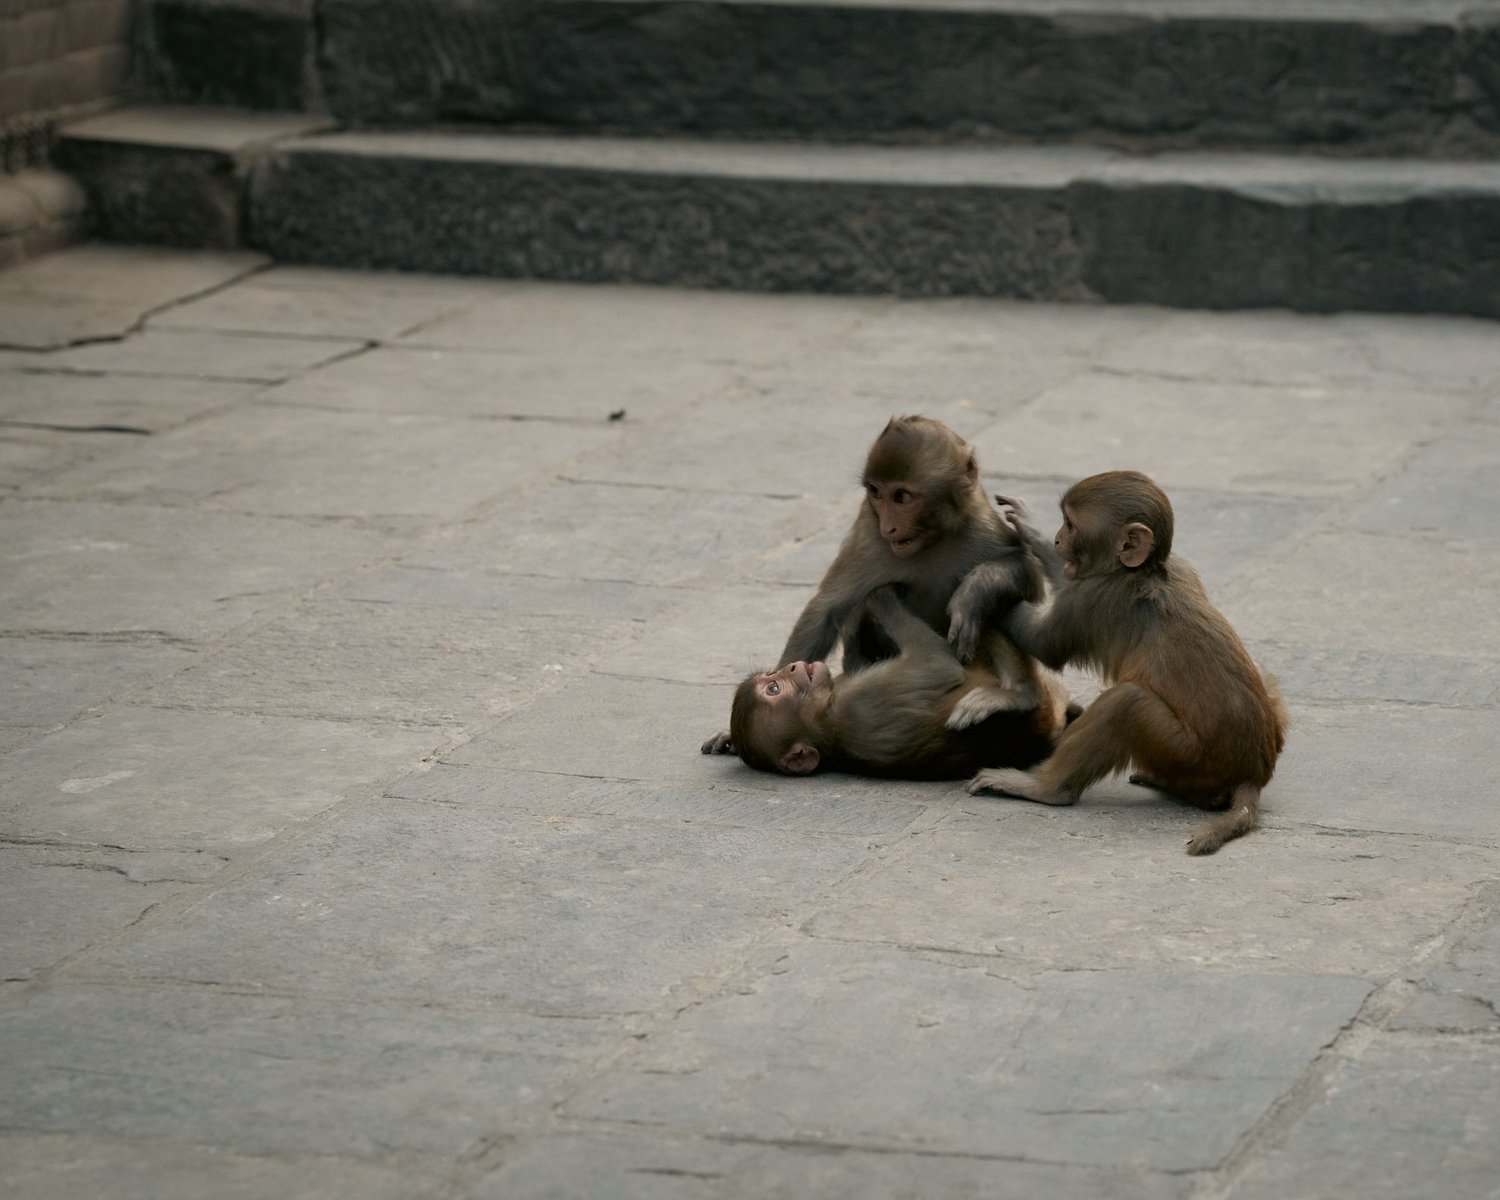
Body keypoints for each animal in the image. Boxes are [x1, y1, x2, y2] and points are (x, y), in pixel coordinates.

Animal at [701, 415, 1062, 755]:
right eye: (876, 492)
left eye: (901, 496)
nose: (889, 526)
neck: (930, 540)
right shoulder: (868, 535)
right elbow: (826, 609)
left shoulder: (980, 523)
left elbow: (1025, 574)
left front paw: (974, 591)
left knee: (997, 604)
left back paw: (1016, 693)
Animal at [728, 584, 1072, 780]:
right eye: (773, 689)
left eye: (772, 680)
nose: (792, 667)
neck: (825, 712)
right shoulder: (858, 702)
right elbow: (939, 667)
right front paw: (878, 595)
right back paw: (1017, 692)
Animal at [961, 470, 1288, 855]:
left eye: (1071, 525)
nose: (1057, 539)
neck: (1147, 570)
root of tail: (1253, 773)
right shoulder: (1179, 566)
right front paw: (1032, 531)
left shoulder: (1093, 598)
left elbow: (1046, 643)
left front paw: (978, 590)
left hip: (1190, 756)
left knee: (1126, 703)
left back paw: (1046, 789)